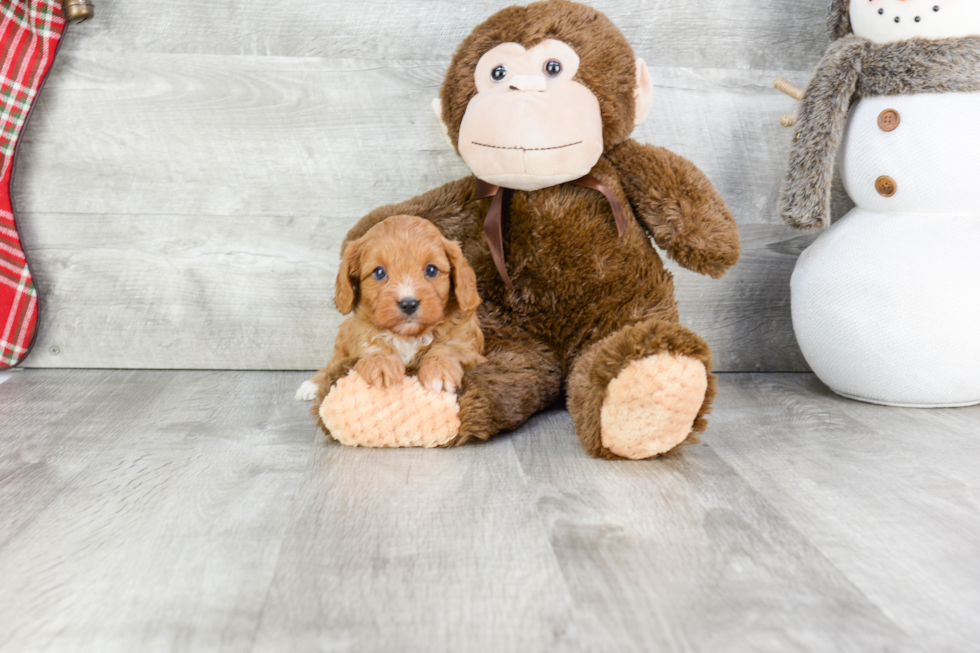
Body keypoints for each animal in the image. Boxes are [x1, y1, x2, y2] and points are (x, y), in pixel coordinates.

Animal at [294, 214, 486, 400]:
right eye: (379, 272)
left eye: (431, 270)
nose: (408, 304)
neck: (408, 336)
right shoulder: (362, 335)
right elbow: (372, 347)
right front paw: (381, 365)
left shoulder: (471, 349)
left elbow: (448, 347)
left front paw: (439, 369)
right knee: (333, 363)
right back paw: (313, 384)